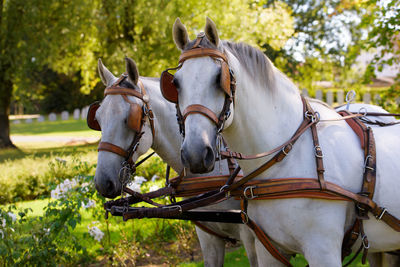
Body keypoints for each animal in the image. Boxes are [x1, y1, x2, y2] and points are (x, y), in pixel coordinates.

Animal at [170, 17, 400, 266]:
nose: (195, 153)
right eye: (176, 83)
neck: (288, 159)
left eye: (217, 79)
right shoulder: (268, 250)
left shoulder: (323, 251)